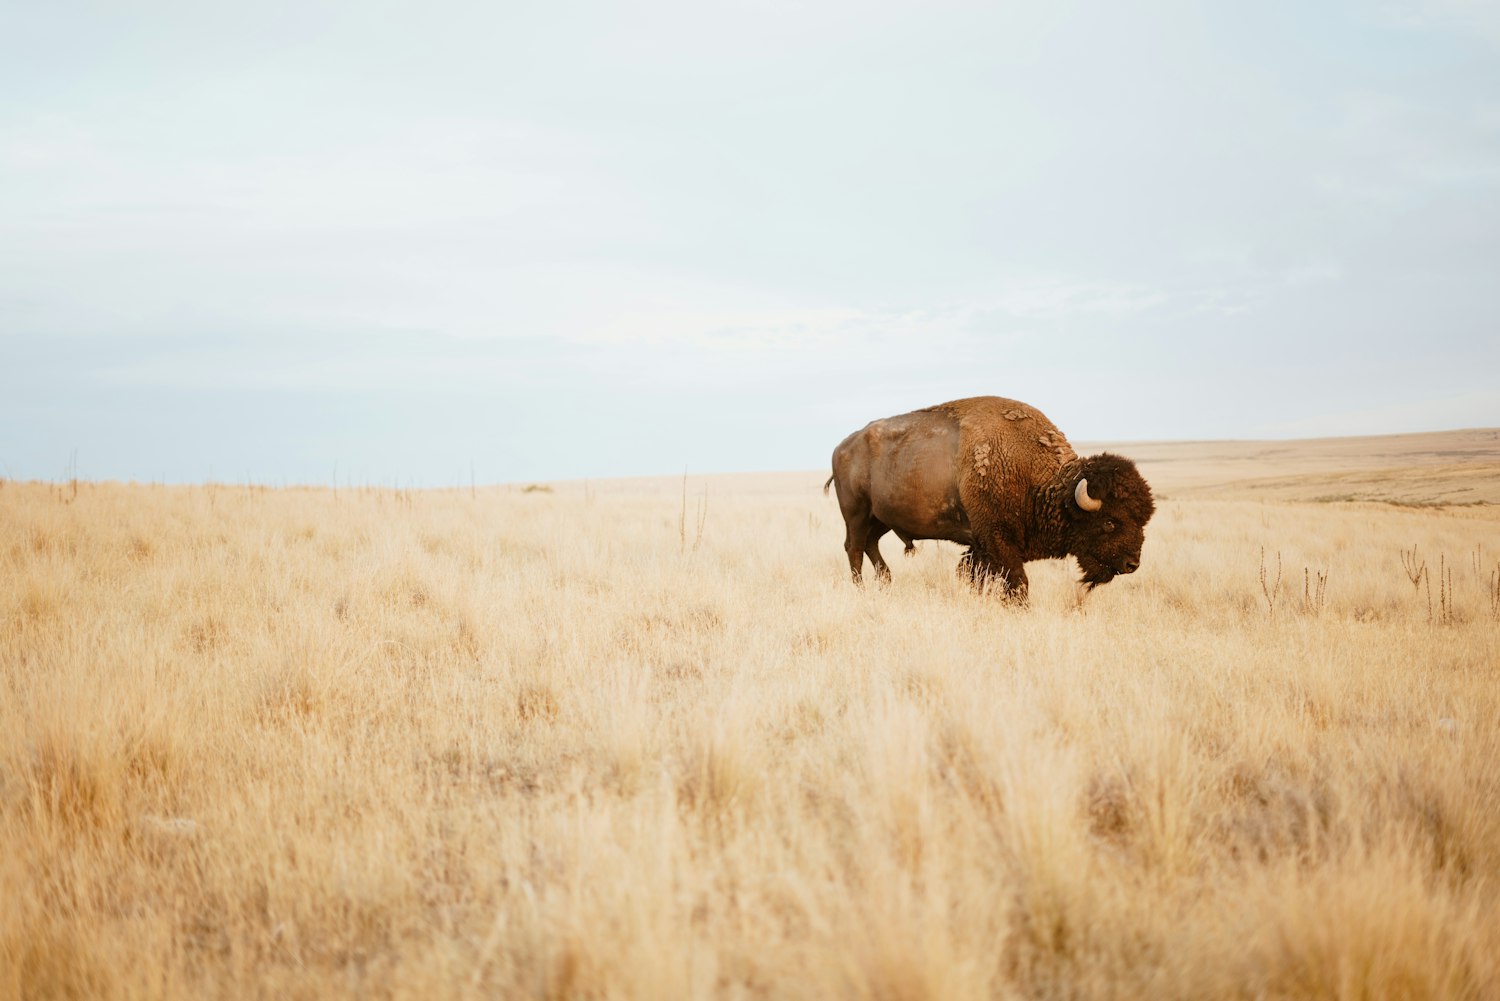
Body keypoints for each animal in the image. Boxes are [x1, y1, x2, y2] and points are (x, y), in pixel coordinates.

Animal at [828, 396, 1152, 600]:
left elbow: (975, 576)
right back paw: (861, 589)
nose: (1132, 564)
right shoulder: (997, 540)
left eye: (1143, 521)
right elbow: (1017, 581)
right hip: (856, 514)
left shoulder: (981, 547)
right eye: (1109, 522)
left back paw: (885, 582)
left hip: (881, 518)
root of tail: (841, 447)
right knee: (854, 549)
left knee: (870, 545)